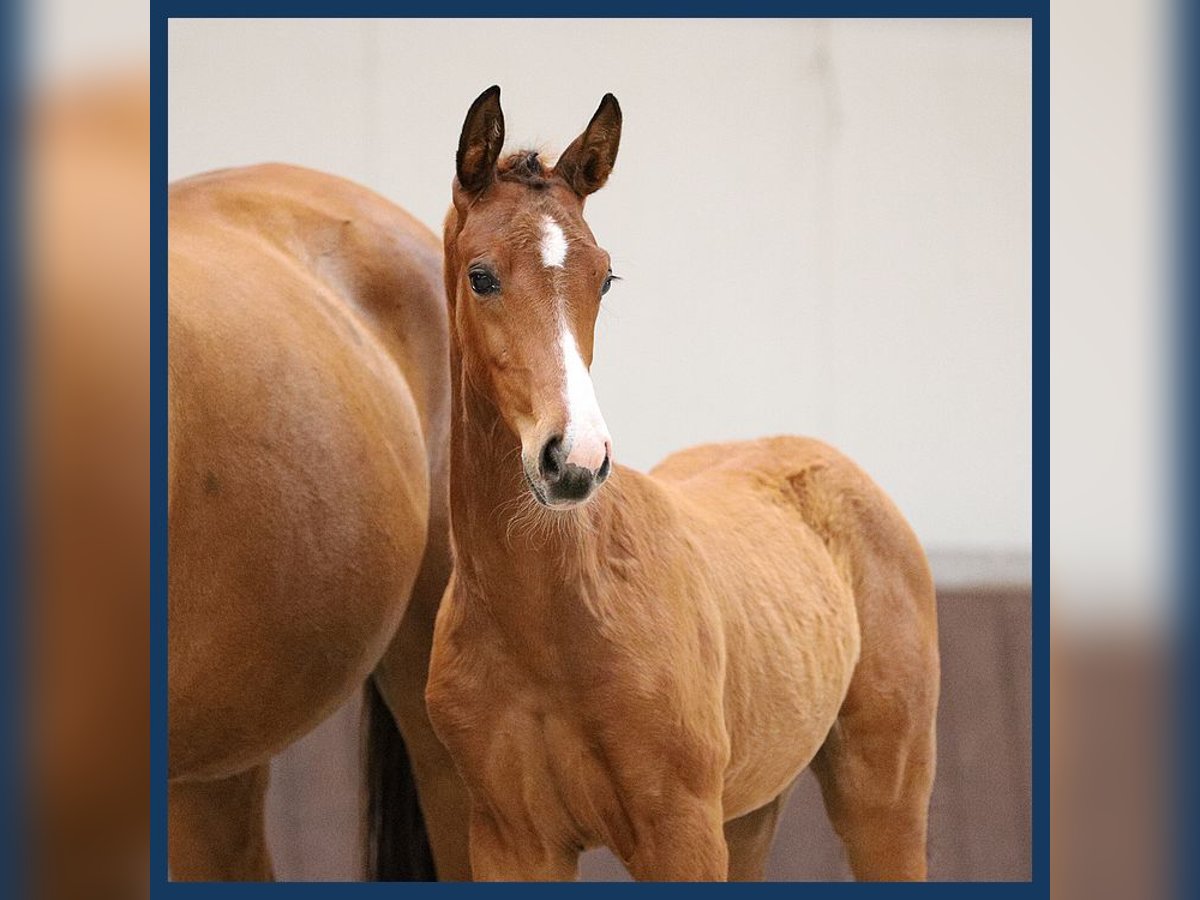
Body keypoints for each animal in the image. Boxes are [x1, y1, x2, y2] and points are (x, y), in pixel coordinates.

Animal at [427, 88, 940, 883]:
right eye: (481, 276)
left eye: (604, 276)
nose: (575, 458)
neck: (554, 618)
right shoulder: (513, 840)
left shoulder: (681, 833)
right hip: (752, 811)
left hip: (884, 800)